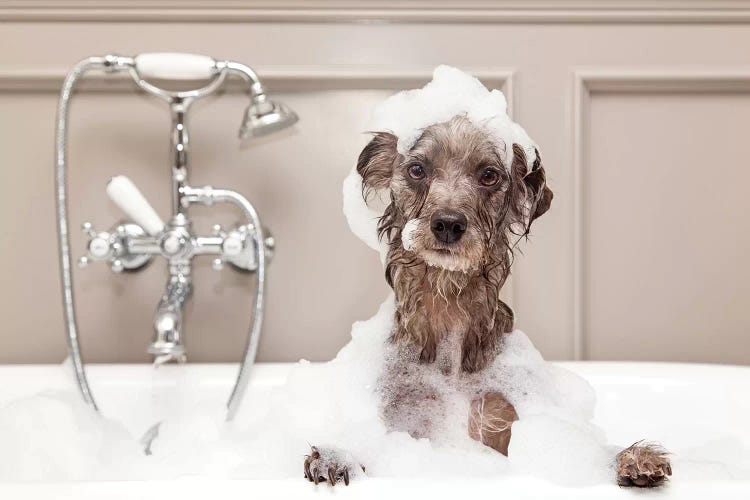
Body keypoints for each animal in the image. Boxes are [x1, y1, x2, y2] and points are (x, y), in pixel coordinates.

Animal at [306, 114, 676, 488]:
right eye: (417, 169)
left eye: (488, 175)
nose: (448, 224)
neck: (448, 310)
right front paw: (340, 456)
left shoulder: (504, 418)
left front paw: (628, 459)